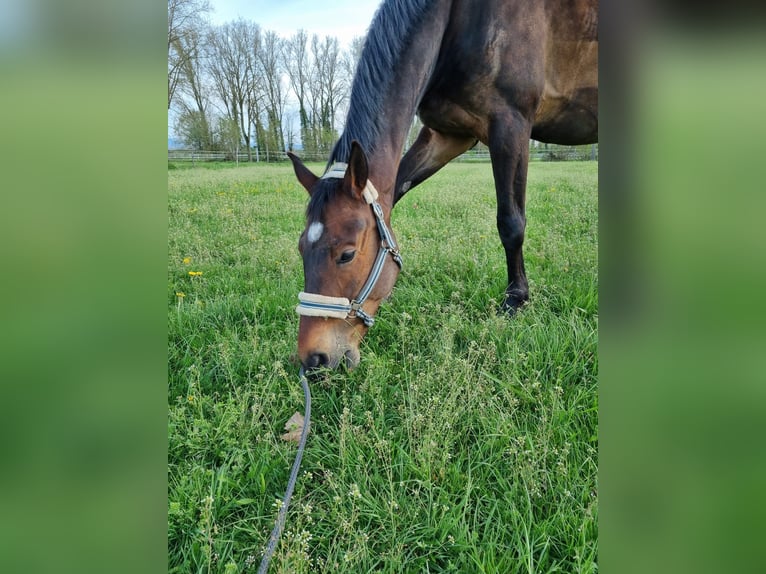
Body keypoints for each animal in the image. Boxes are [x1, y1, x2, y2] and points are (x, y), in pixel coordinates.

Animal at [288, 0, 600, 372]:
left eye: (347, 254)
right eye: (301, 249)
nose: (314, 359)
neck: (459, 20)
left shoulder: (511, 125)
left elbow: (511, 222)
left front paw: (516, 299)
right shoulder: (447, 135)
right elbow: (397, 190)